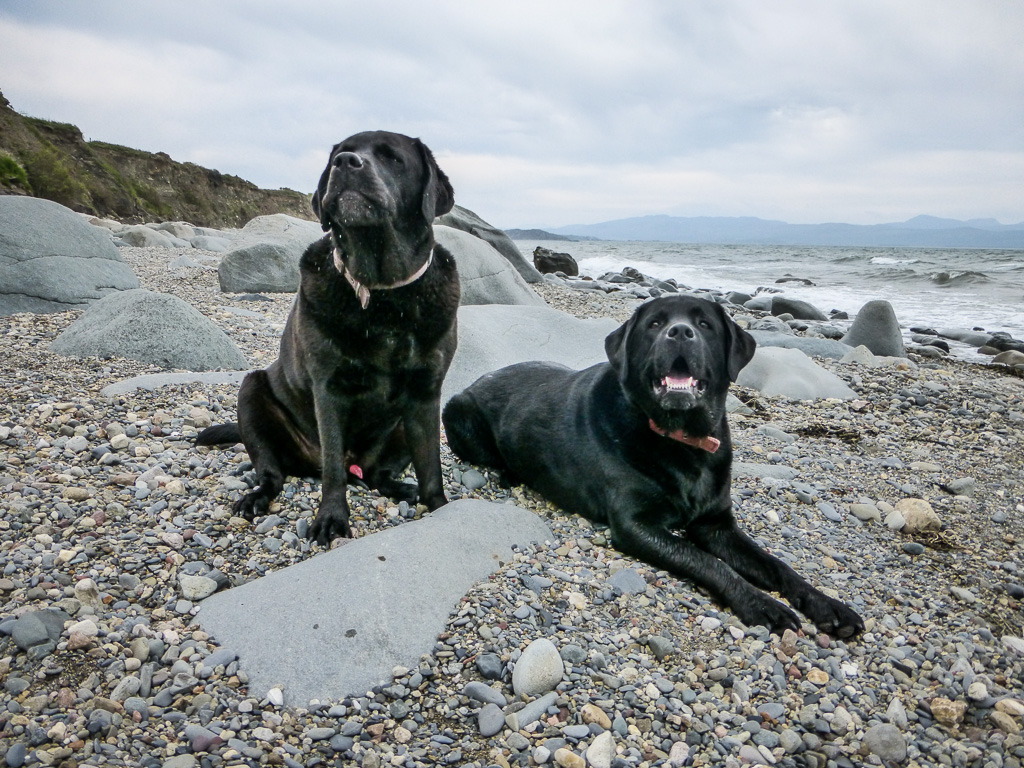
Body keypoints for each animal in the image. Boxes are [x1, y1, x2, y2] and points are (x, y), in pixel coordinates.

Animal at [197, 131, 458, 548]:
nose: (347, 162)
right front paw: (332, 518)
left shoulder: (425, 396)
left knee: (379, 476)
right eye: (340, 153)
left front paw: (439, 507)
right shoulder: (329, 391)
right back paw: (257, 497)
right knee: (274, 472)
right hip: (252, 393)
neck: (382, 294)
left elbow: (431, 464)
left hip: (400, 428)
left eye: (393, 158)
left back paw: (404, 489)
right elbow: (333, 468)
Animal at [446, 294, 864, 638]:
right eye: (655, 324)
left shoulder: (717, 525)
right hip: (460, 414)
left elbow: (777, 565)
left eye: (705, 324)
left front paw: (828, 606)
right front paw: (762, 603)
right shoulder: (636, 524)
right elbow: (707, 561)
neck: (682, 441)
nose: (679, 333)